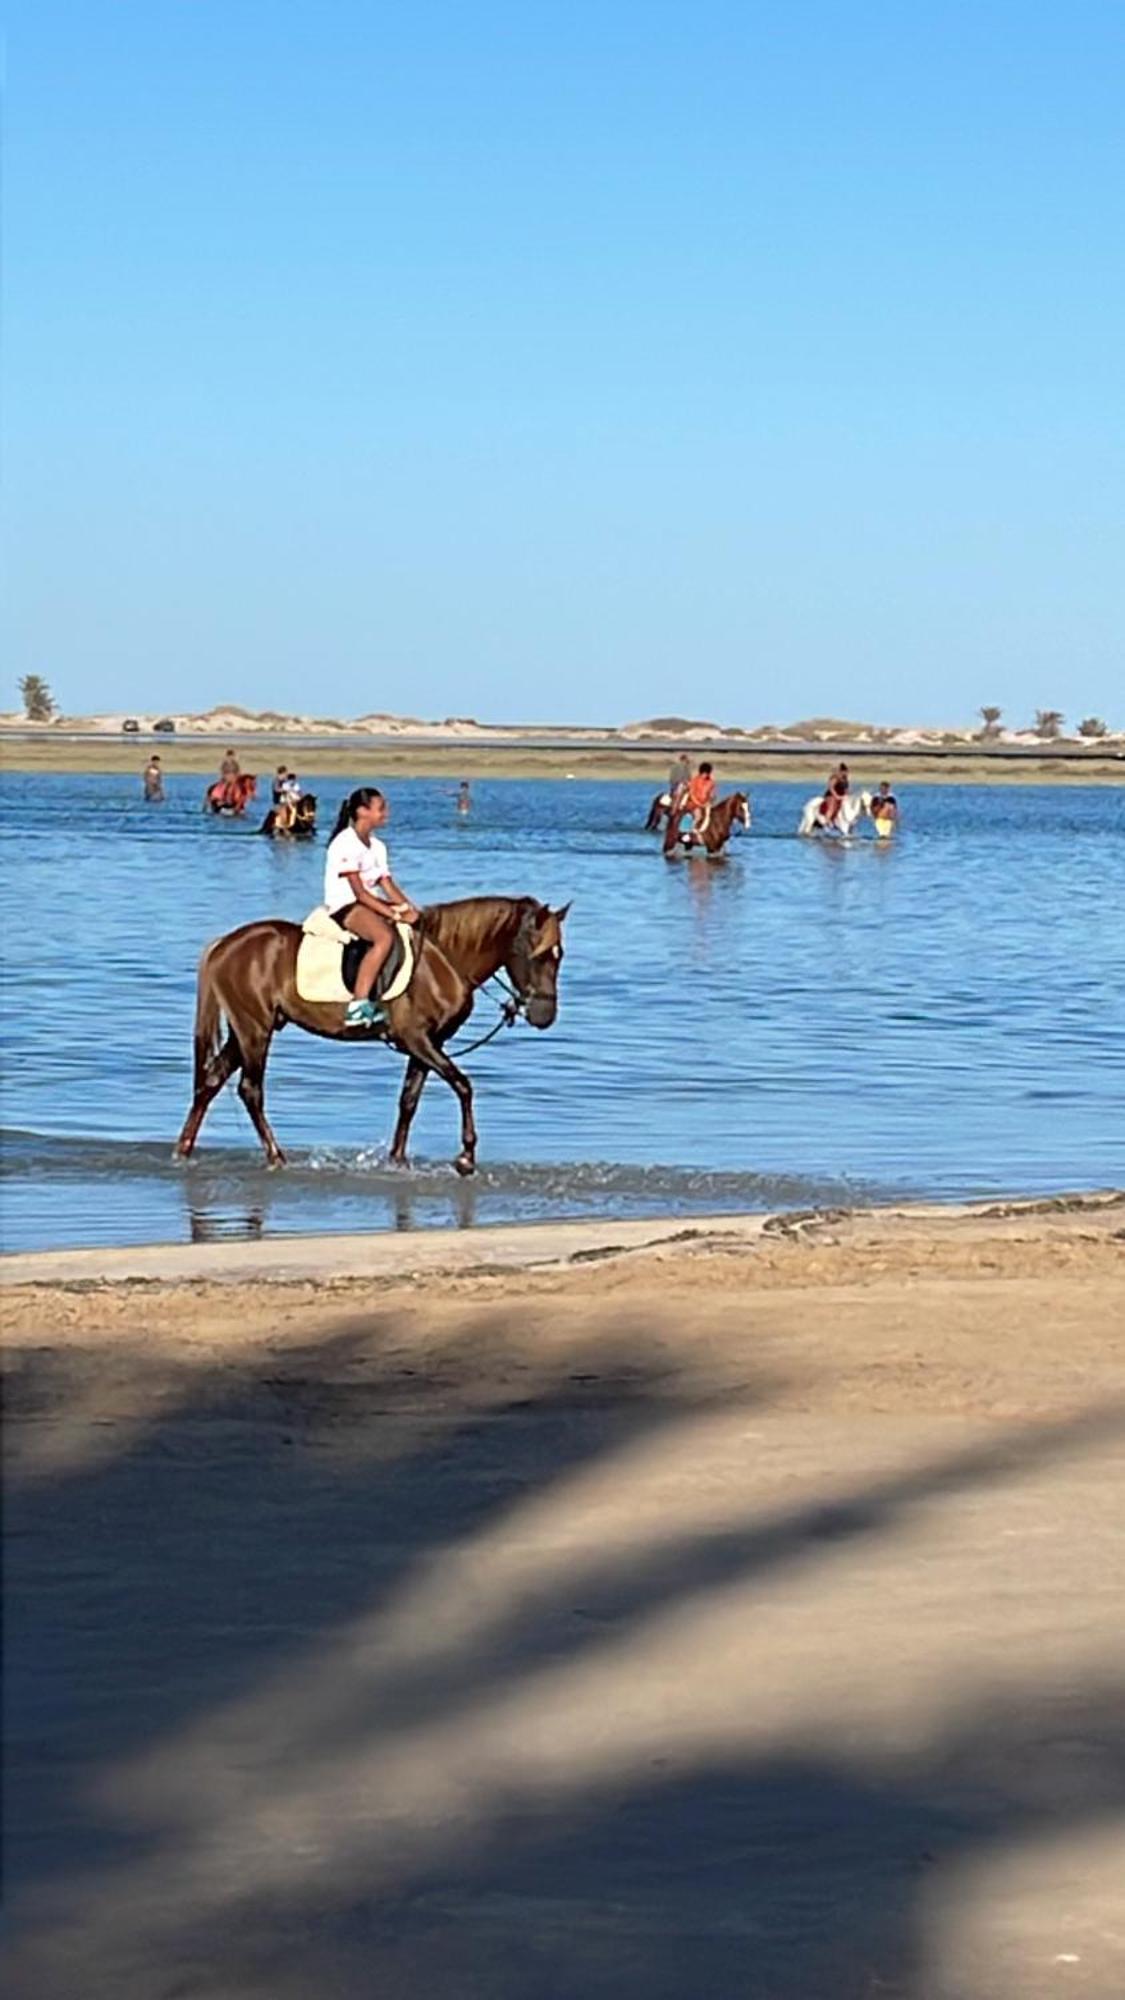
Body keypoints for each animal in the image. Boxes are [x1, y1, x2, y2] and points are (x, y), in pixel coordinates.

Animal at [173, 892, 568, 1168]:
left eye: (559, 956)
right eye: (539, 955)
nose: (545, 1015)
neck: (444, 959)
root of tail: (225, 944)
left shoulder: (428, 1045)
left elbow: (409, 1100)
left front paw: (397, 1159)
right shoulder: (417, 1040)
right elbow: (463, 1085)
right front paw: (466, 1157)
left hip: (244, 1030)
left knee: (211, 1082)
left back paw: (183, 1150)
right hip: (255, 1029)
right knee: (250, 1090)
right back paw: (276, 1157)